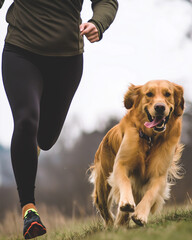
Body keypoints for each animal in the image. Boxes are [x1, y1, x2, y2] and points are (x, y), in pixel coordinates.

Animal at [90, 80, 184, 227]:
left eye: (168, 94)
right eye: (149, 94)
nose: (160, 107)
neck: (150, 139)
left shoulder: (159, 174)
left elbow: (151, 193)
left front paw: (140, 214)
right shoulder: (121, 164)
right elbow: (124, 180)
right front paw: (127, 203)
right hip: (102, 183)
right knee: (103, 206)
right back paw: (112, 224)